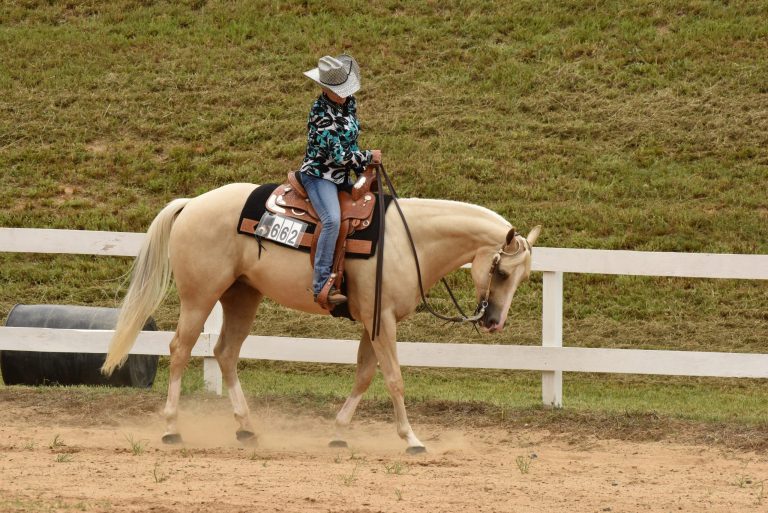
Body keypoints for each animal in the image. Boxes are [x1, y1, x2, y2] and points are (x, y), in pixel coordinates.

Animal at [101, 182, 541, 453]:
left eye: (523, 276)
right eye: (502, 273)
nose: (494, 322)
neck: (409, 240)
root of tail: (191, 204)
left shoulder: (373, 322)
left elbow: (364, 375)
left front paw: (339, 434)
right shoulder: (383, 321)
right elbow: (394, 378)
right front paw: (412, 439)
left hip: (242, 295)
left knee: (225, 352)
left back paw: (246, 428)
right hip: (200, 296)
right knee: (180, 348)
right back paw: (172, 428)